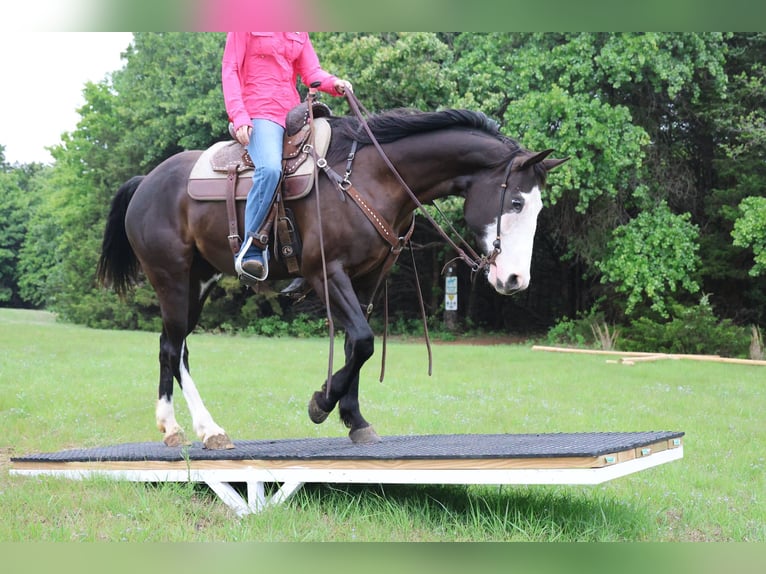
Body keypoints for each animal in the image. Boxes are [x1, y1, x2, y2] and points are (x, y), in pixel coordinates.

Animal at [97, 106, 567, 449]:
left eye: (538, 206)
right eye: (517, 201)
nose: (515, 279)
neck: (374, 177)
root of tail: (146, 181)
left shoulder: (367, 279)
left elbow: (354, 345)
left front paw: (355, 419)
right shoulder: (325, 273)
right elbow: (362, 341)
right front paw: (321, 402)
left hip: (200, 281)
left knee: (177, 349)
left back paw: (191, 429)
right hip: (172, 279)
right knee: (170, 348)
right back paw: (192, 429)